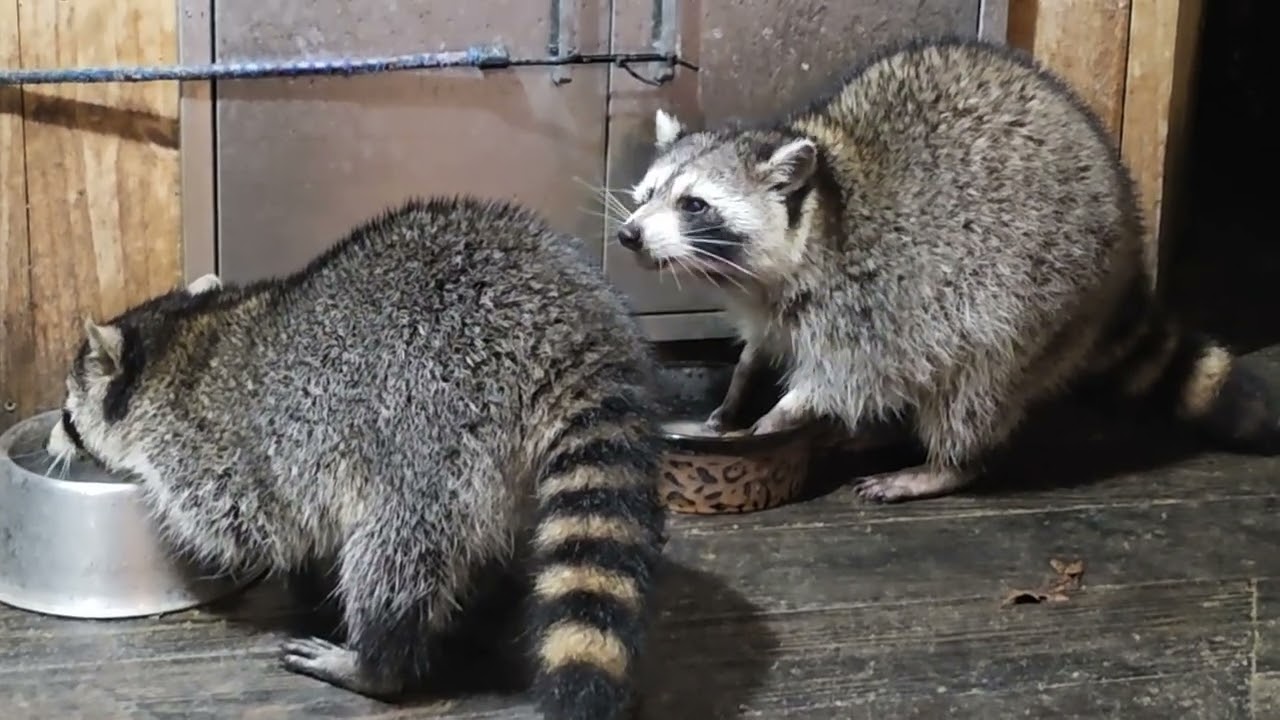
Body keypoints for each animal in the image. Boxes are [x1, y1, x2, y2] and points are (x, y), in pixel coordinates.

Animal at [44, 196, 667, 719]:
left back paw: (375, 661)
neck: (179, 336)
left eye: (67, 414)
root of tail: (573, 323)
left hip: (433, 422)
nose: (52, 443)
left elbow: (240, 525)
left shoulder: (213, 448)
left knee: (394, 549)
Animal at [615, 37, 1280, 503]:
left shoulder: (874, 295)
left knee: (975, 384)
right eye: (646, 194)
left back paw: (948, 465)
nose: (628, 235)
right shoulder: (770, 299)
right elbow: (763, 344)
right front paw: (739, 389)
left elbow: (851, 376)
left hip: (1041, 292)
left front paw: (783, 413)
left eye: (693, 205)